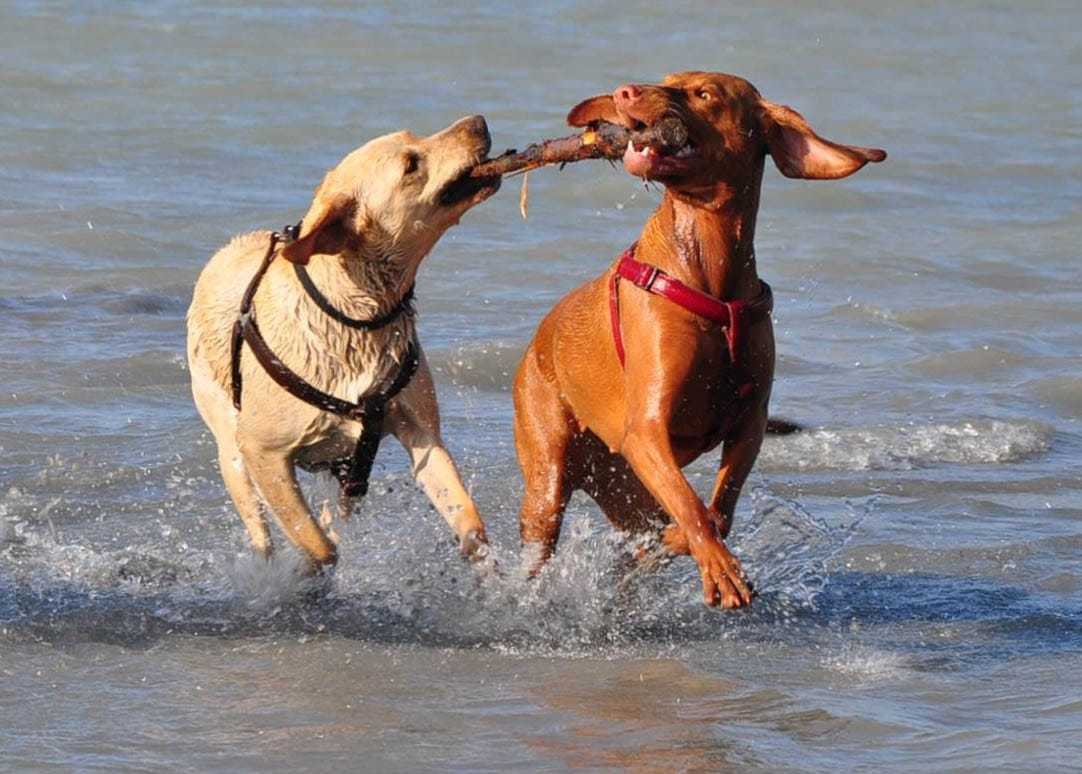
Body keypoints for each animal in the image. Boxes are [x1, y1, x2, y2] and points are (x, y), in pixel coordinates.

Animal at [187, 115, 500, 572]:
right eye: (411, 164)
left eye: (414, 136)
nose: (478, 121)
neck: (355, 314)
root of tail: (228, 249)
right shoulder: (263, 453)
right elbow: (315, 542)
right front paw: (310, 571)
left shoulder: (422, 433)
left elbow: (466, 514)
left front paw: (483, 557)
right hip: (229, 446)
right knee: (260, 526)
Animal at [513, 72, 885, 608]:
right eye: (667, 81)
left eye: (704, 94)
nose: (624, 92)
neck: (710, 267)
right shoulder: (647, 432)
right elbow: (692, 507)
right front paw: (719, 569)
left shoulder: (749, 422)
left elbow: (717, 511)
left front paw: (677, 546)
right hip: (548, 482)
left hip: (622, 483)